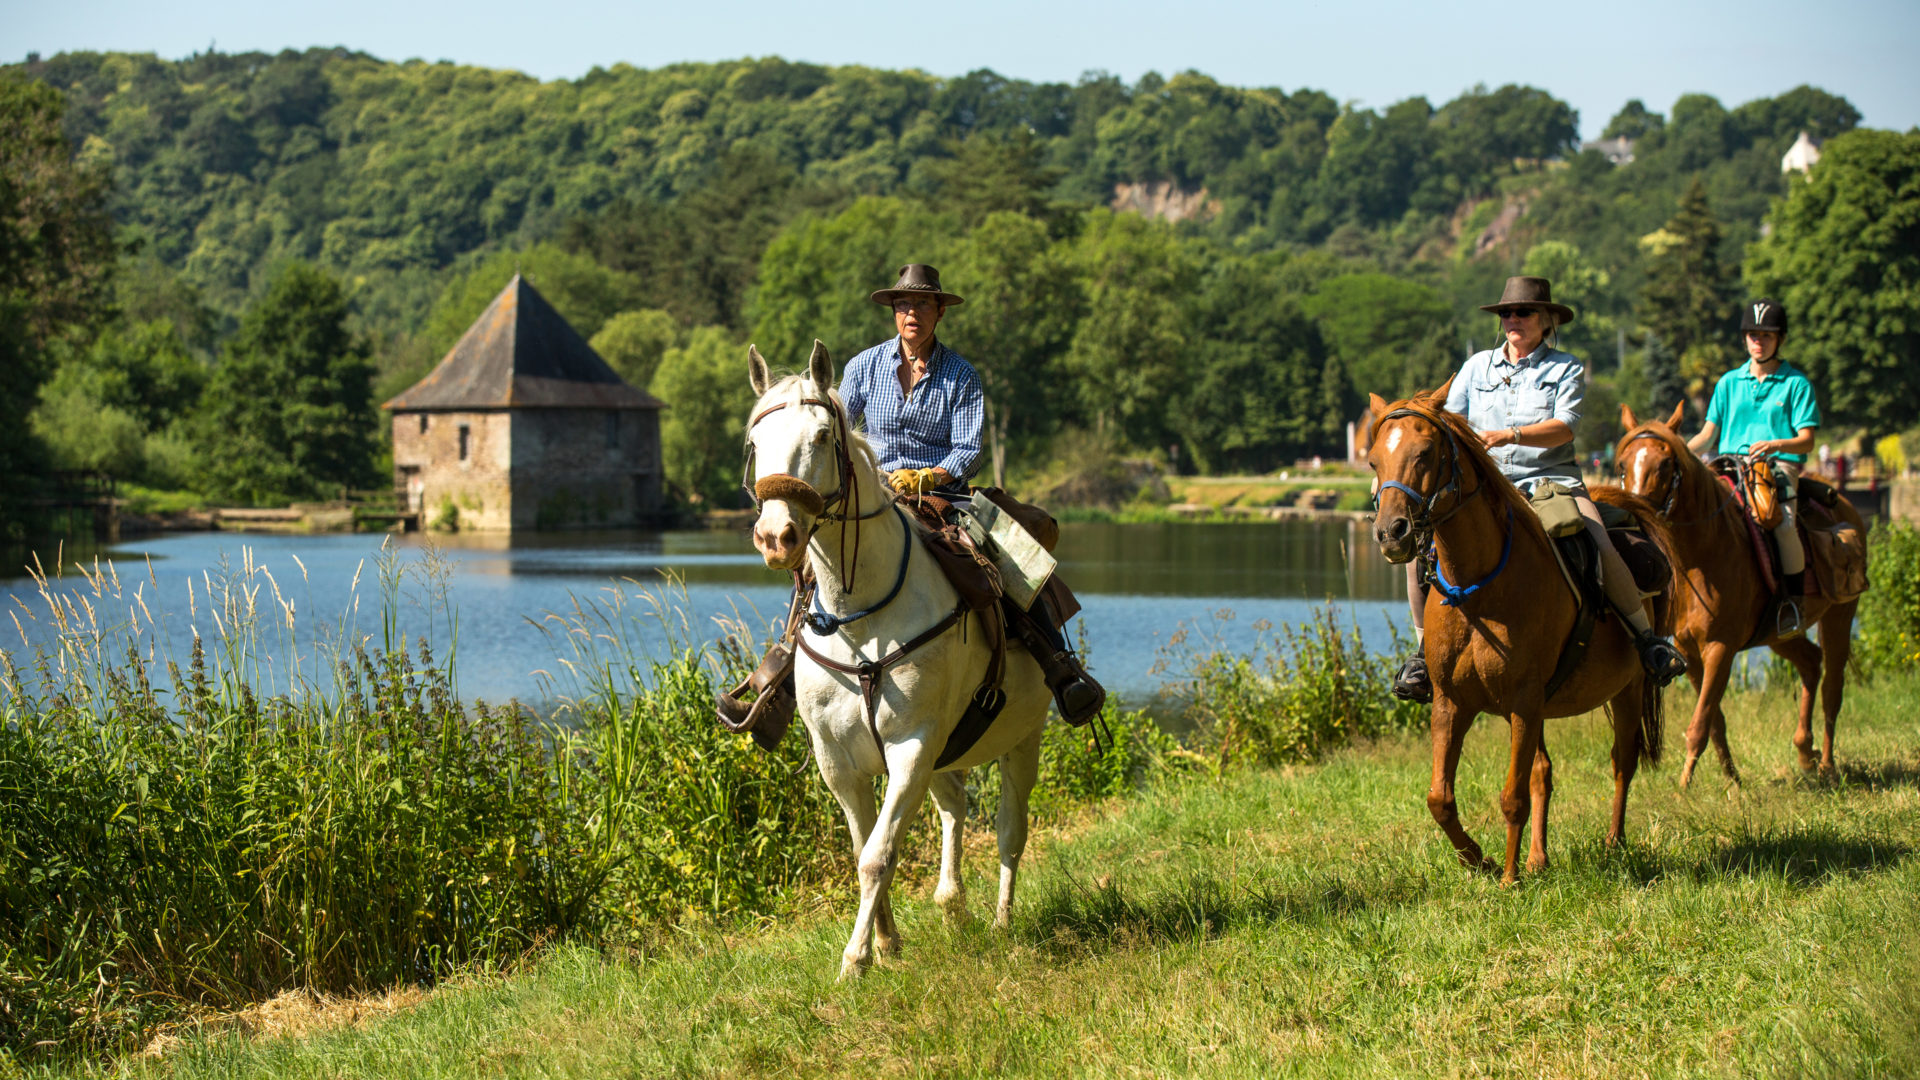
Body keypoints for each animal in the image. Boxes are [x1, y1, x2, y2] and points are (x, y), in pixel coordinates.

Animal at [744, 340, 1052, 980]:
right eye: (757, 442)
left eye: (820, 436)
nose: (776, 537)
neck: (860, 617)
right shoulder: (838, 760)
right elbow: (863, 848)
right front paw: (888, 943)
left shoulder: (912, 746)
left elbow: (877, 857)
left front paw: (856, 960)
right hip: (946, 755)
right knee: (955, 808)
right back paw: (953, 905)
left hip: (1023, 738)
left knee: (1011, 832)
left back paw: (1001, 924)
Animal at [1359, 382, 1674, 880]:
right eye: (1373, 461)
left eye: (1425, 453)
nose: (1392, 533)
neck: (1477, 588)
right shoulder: (1454, 703)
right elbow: (1440, 799)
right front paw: (1481, 860)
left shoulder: (1524, 702)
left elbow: (1512, 797)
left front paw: (1508, 879)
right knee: (1544, 771)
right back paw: (1538, 858)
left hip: (1628, 688)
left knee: (1623, 761)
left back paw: (1613, 842)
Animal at [1612, 399, 1866, 776]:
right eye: (1622, 465)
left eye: (1666, 463)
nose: (1634, 511)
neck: (1700, 556)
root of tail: (1847, 506)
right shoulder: (1688, 650)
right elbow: (1713, 720)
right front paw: (1732, 780)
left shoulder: (1721, 647)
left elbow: (1699, 725)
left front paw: (1685, 784)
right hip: (1779, 635)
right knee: (1810, 662)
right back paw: (1804, 751)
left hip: (1840, 615)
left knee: (1832, 689)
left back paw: (1828, 765)